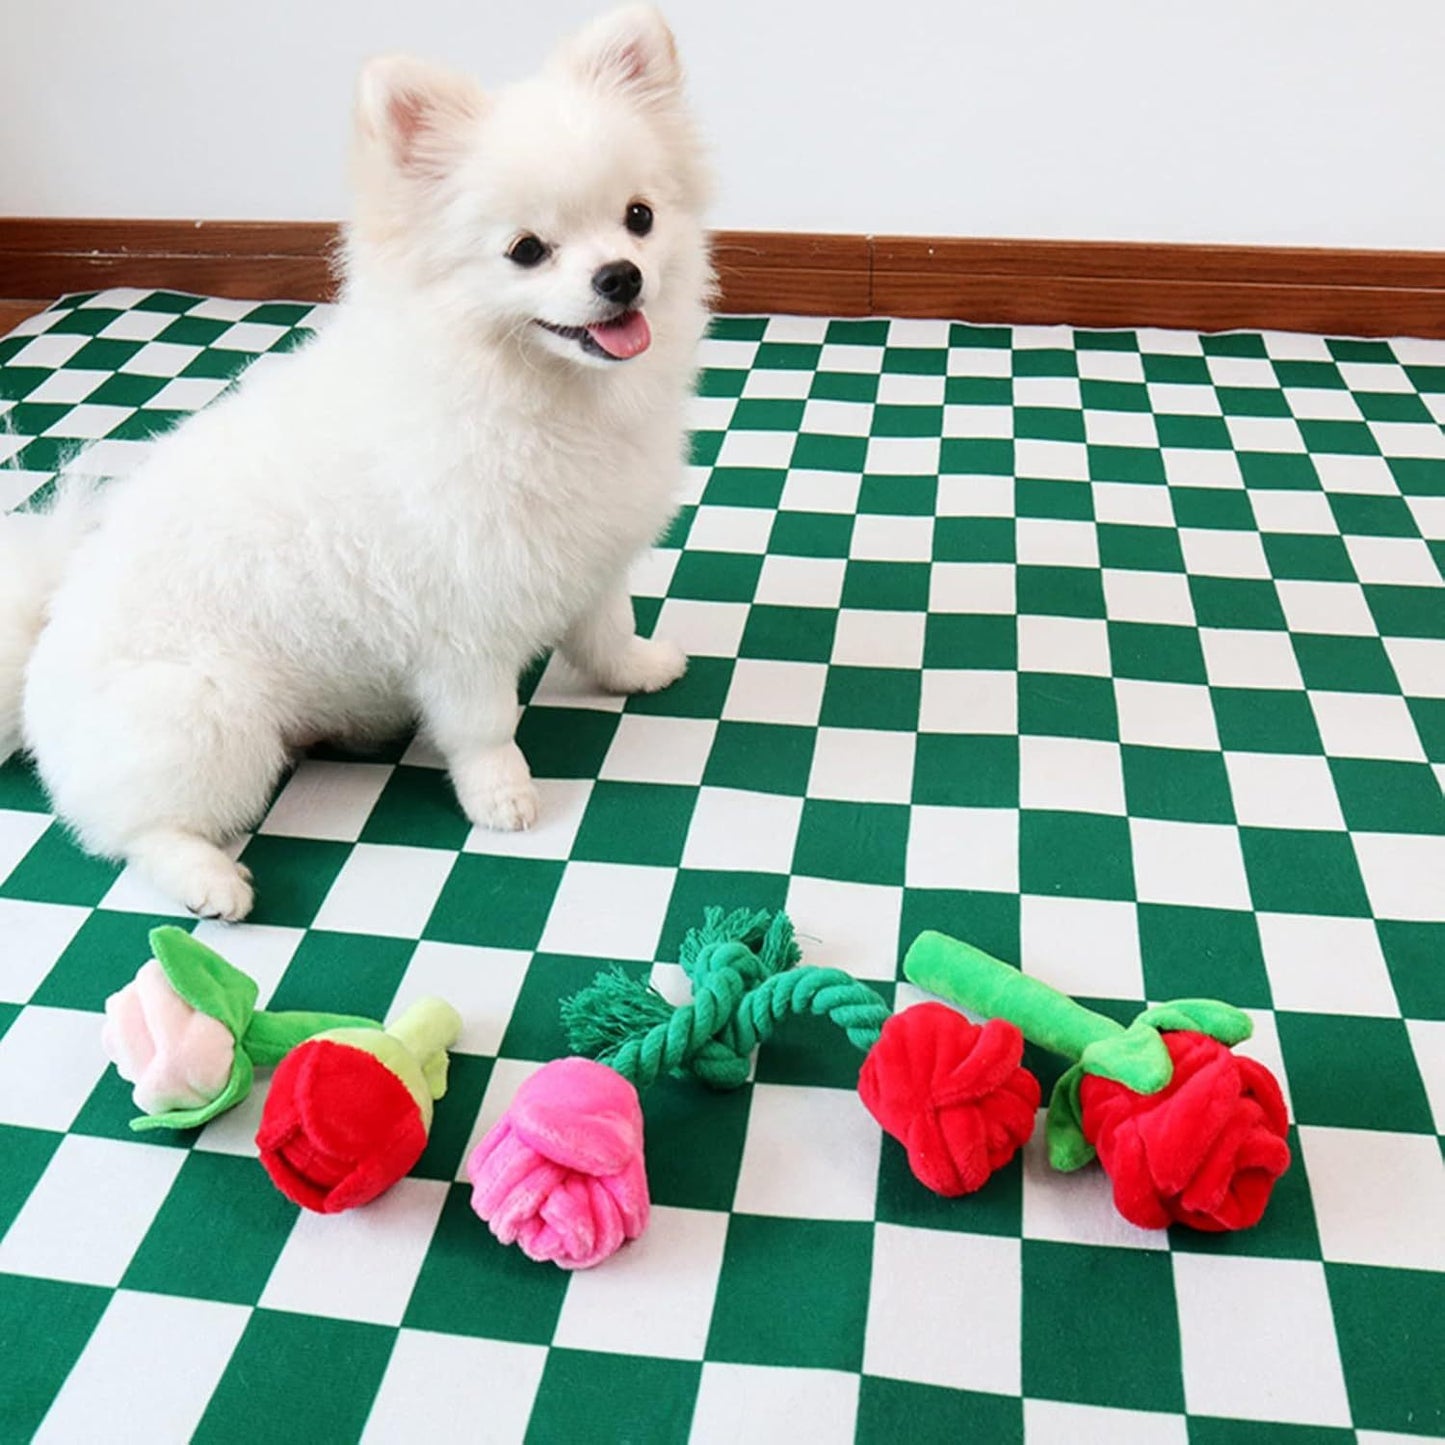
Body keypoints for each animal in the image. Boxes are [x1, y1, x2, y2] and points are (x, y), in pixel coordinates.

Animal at [0, 5, 710, 919]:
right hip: (209, 719)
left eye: (639, 216)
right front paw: (502, 795)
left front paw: (637, 670)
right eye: (526, 250)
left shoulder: (586, 558)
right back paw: (208, 880)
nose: (620, 276)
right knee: (130, 831)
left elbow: (606, 628)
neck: (532, 396)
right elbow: (483, 725)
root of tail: (39, 640)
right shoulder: (463, 627)